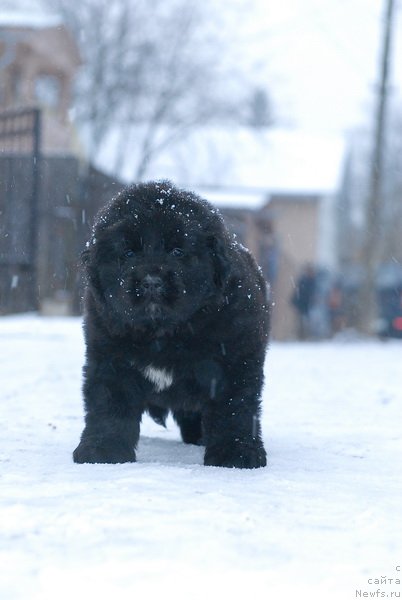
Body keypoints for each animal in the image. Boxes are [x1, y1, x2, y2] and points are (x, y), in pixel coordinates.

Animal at [73, 180, 268, 466]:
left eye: (177, 251)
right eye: (128, 253)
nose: (151, 281)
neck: (163, 335)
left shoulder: (234, 361)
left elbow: (234, 408)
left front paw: (237, 453)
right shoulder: (109, 357)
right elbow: (108, 405)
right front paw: (102, 451)